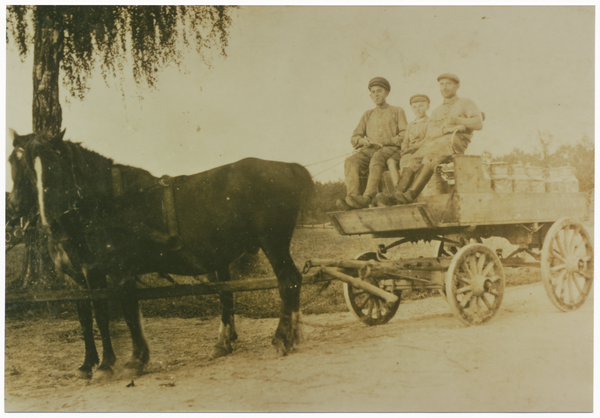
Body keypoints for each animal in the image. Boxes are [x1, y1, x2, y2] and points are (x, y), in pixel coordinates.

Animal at [7, 129, 314, 378]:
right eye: (14, 161)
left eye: (54, 163)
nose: (17, 207)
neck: (106, 204)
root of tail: (289, 168)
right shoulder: (76, 279)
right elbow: (88, 318)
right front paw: (90, 365)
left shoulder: (108, 273)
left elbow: (116, 314)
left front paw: (117, 364)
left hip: (273, 243)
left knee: (288, 280)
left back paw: (282, 340)